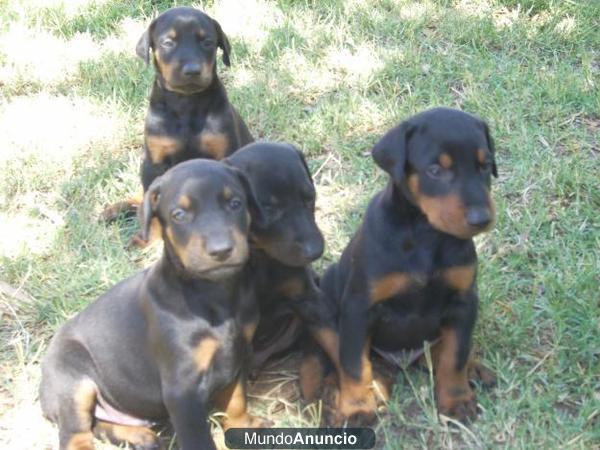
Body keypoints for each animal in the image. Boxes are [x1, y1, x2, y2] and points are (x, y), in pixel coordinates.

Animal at [39, 160, 270, 450]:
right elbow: (198, 437)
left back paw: (138, 436)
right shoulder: (181, 390)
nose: (221, 250)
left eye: (235, 203)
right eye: (179, 214)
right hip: (72, 382)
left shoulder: (237, 353)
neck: (212, 294)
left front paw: (241, 427)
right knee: (75, 434)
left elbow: (236, 399)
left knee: (97, 424)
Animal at [318, 108, 496, 426]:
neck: (426, 235)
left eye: (485, 164)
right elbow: (353, 364)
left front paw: (457, 400)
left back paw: (473, 368)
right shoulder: (358, 306)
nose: (481, 219)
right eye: (435, 170)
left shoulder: (464, 301)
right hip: (323, 306)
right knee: (346, 357)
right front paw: (356, 409)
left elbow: (455, 355)